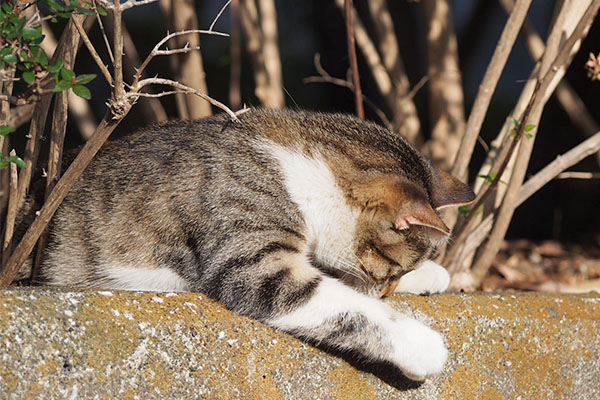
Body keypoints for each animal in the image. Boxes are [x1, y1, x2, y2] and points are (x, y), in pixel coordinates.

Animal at [21, 108, 476, 382]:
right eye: (389, 269)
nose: (387, 290)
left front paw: (433, 275)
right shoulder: (253, 263)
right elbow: (347, 305)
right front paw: (423, 346)